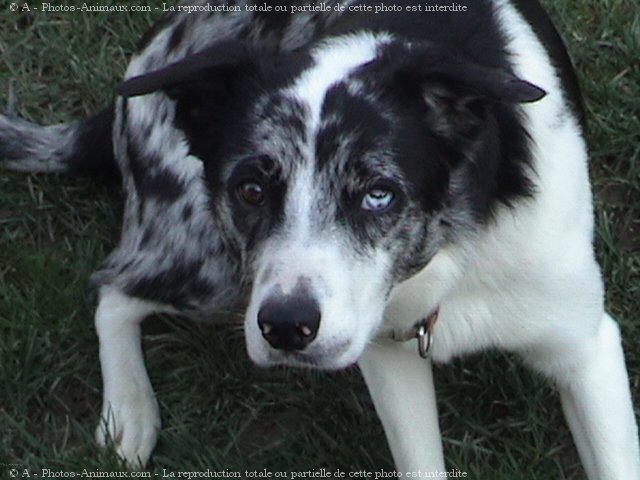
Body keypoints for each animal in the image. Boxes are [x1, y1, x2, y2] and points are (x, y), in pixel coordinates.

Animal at [1, 0, 640, 474]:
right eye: (250, 189)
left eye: (378, 193)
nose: (287, 327)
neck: (449, 252)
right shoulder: (383, 351)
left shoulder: (585, 349)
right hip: (208, 258)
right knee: (112, 287)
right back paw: (129, 412)